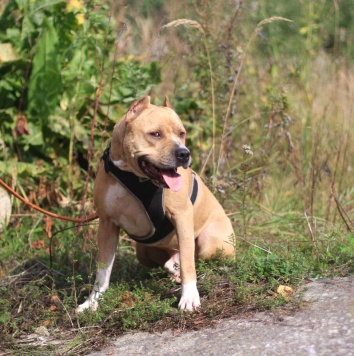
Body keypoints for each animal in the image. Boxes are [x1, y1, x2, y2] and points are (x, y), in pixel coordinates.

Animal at [76, 96, 234, 312]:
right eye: (155, 134)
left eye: (182, 133)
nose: (184, 153)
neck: (134, 177)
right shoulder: (107, 224)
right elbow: (102, 270)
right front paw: (92, 303)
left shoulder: (182, 215)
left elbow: (188, 261)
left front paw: (189, 297)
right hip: (143, 251)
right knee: (171, 260)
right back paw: (173, 266)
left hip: (210, 240)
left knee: (208, 258)